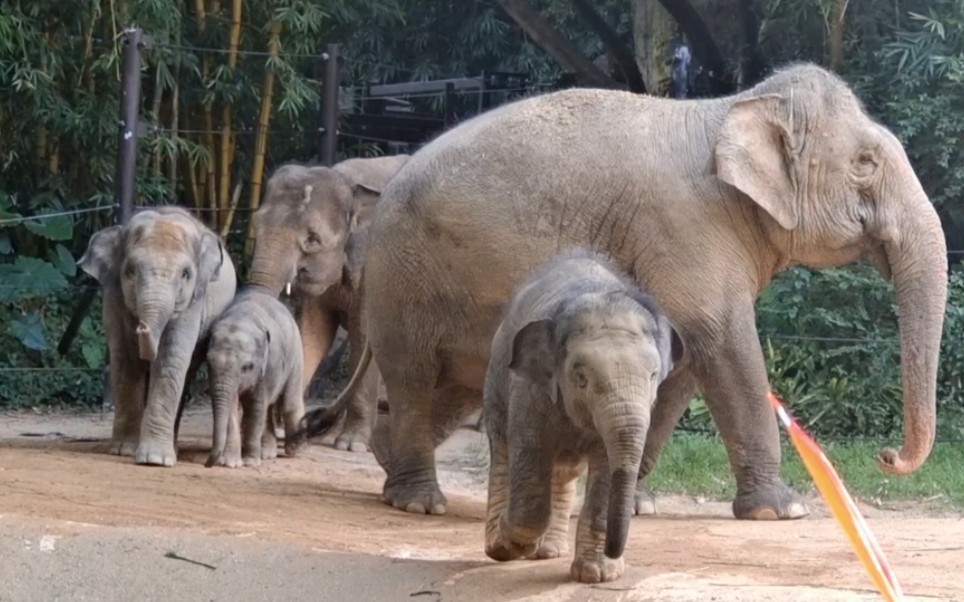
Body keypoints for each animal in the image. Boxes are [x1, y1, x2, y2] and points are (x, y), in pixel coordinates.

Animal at [78, 206, 236, 464]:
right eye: (130, 271)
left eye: (186, 274)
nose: (142, 328)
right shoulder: (114, 297)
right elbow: (125, 360)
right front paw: (124, 450)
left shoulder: (194, 302)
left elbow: (171, 358)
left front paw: (155, 459)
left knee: (186, 371)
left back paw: (173, 448)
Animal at [204, 284, 306, 466]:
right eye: (208, 362)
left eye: (247, 367)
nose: (207, 464)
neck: (242, 318)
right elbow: (233, 406)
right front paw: (231, 463)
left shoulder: (269, 363)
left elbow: (256, 407)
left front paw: (250, 462)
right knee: (269, 407)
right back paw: (267, 453)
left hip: (296, 354)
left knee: (288, 402)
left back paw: (295, 449)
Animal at [247, 155, 408, 450]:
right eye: (255, 223)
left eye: (312, 239)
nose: (311, 423)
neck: (348, 182)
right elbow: (313, 333)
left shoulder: (372, 266)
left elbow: (363, 335)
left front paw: (351, 445)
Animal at [310, 63, 948, 516]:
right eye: (865, 162)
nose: (887, 456)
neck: (733, 107)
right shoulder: (686, 226)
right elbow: (724, 341)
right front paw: (783, 512)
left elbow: (684, 360)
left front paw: (637, 502)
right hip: (405, 274)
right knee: (415, 375)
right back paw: (419, 502)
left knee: (451, 388)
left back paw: (388, 465)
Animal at [480, 247, 676, 580]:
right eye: (581, 378)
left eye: (653, 376)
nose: (614, 551)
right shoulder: (529, 391)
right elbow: (530, 456)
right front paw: (511, 542)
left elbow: (607, 468)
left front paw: (597, 575)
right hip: (495, 379)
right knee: (504, 450)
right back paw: (501, 545)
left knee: (563, 470)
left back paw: (548, 551)